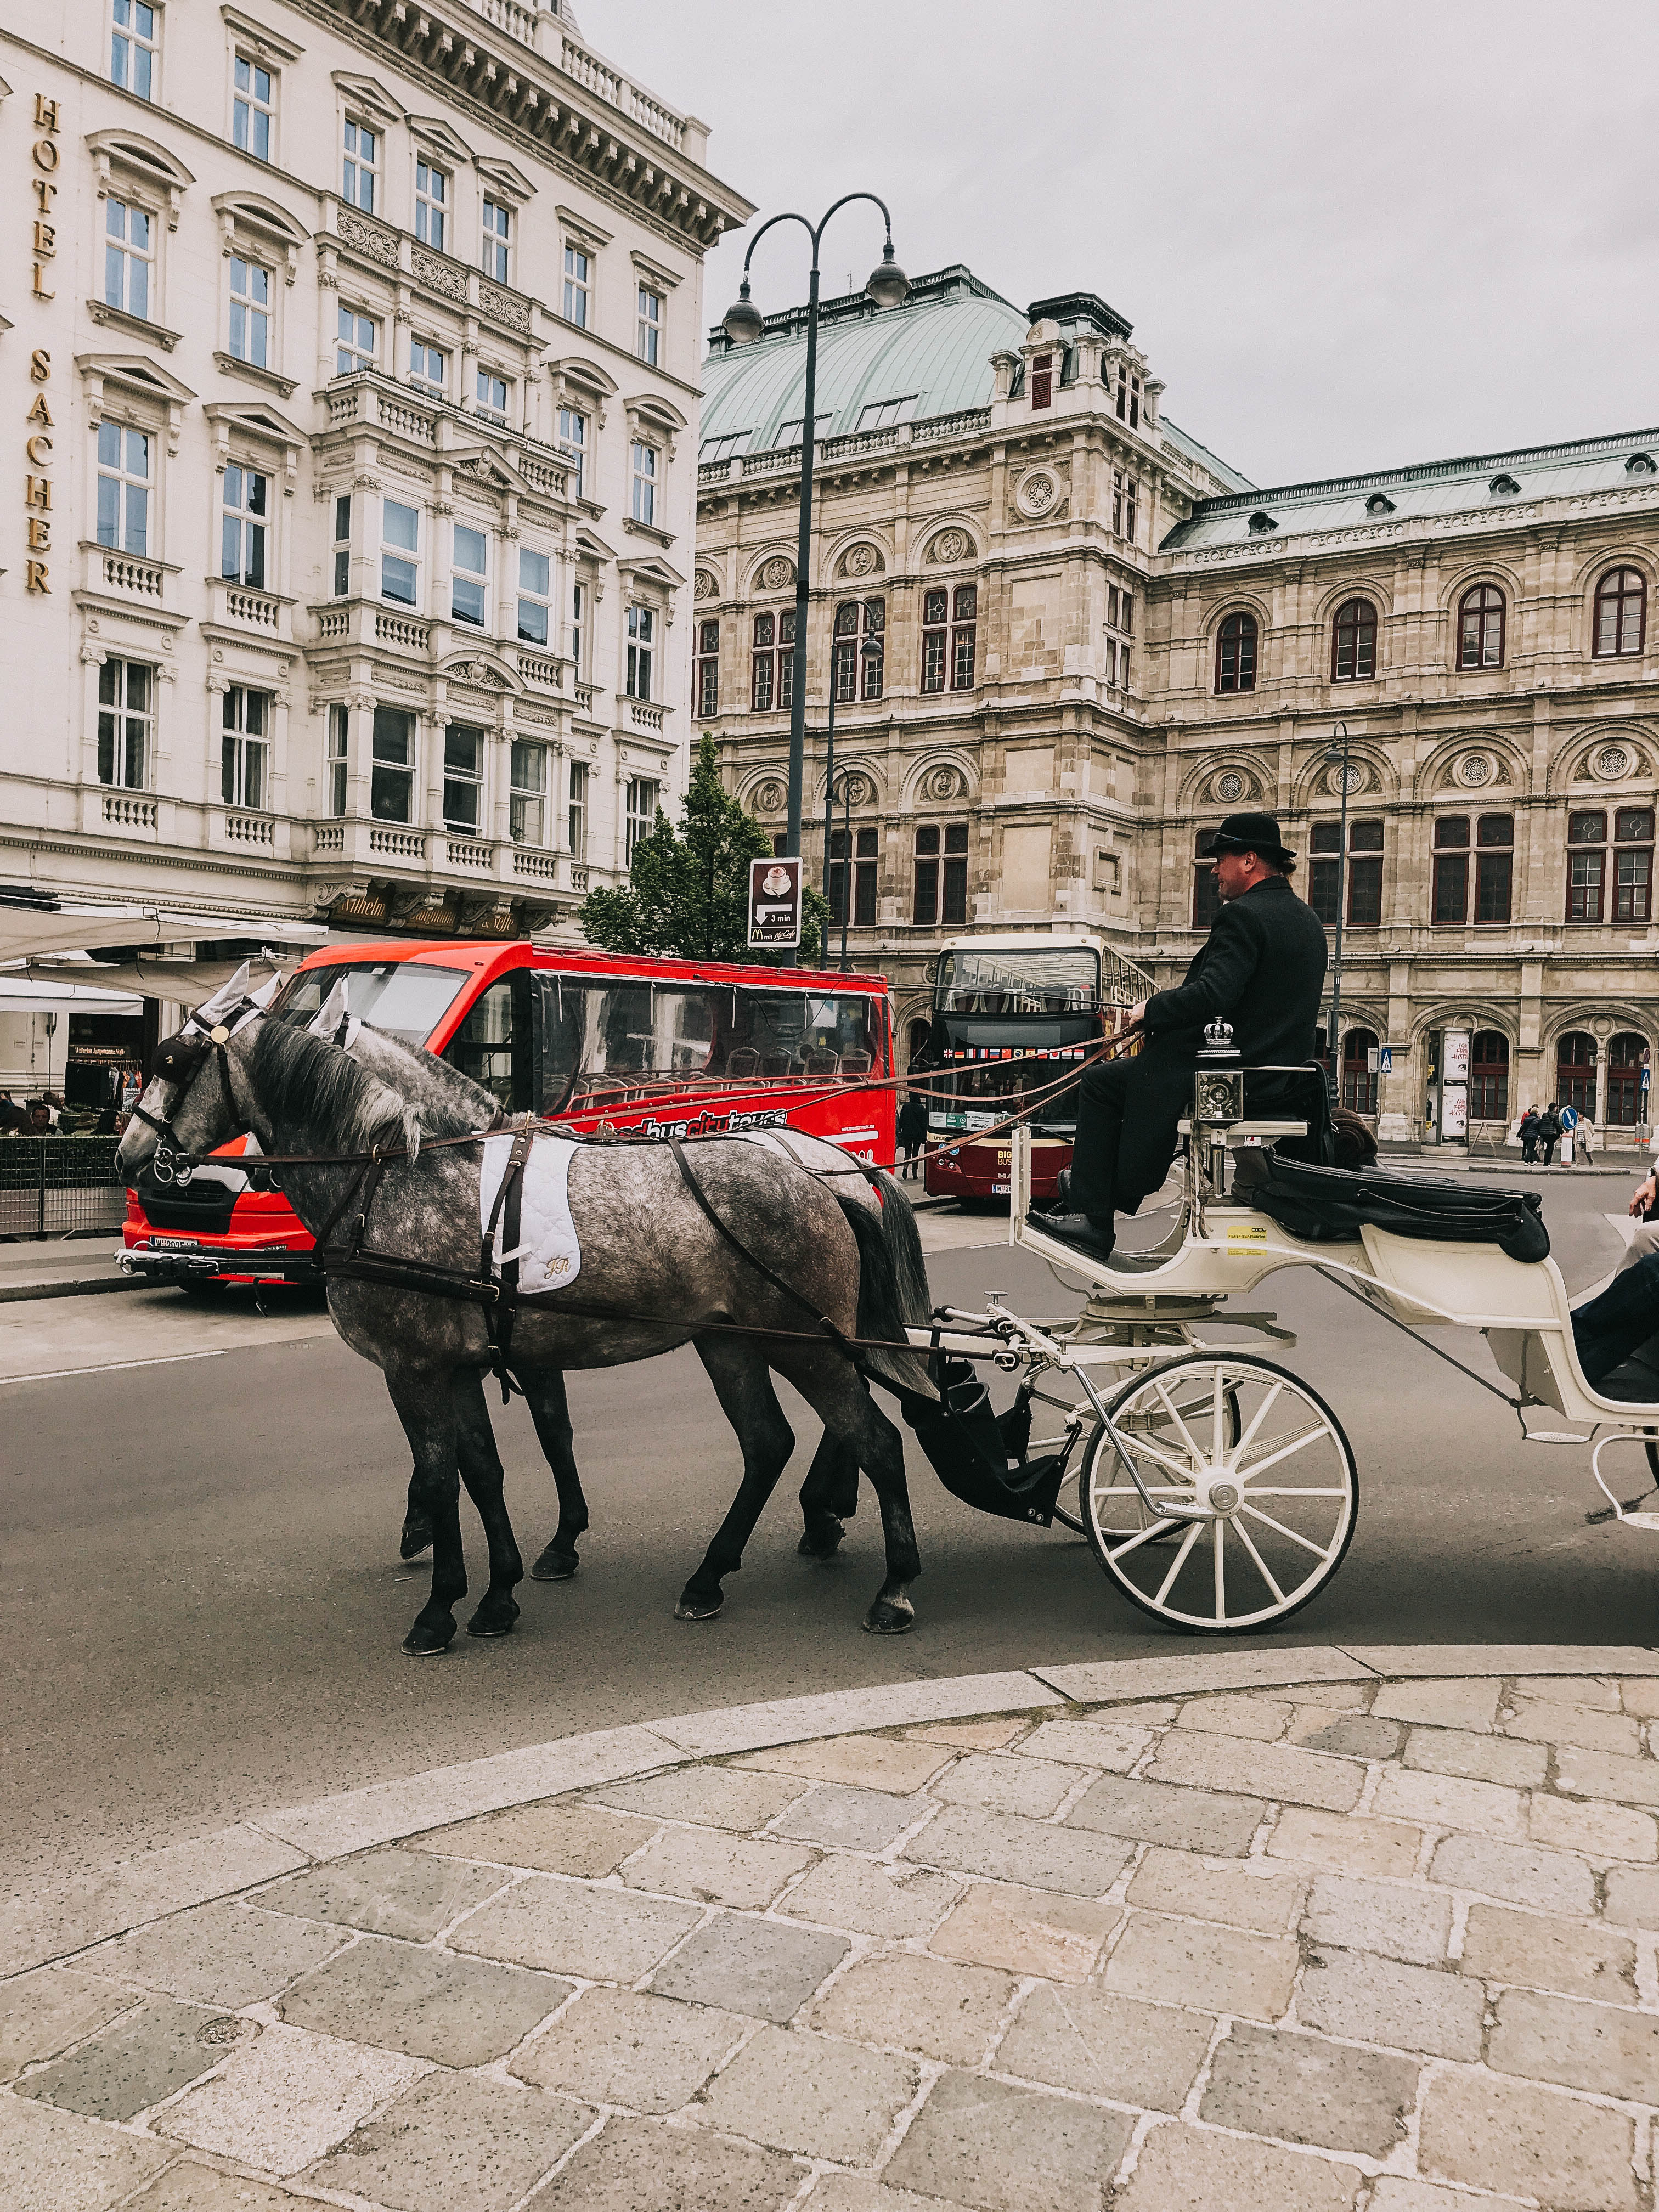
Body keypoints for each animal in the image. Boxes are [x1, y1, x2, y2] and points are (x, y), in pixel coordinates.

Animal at [118, 972, 937, 1656]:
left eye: (170, 1061)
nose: (127, 1158)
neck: (398, 1178)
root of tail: (825, 1175)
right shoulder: (464, 1366)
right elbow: (485, 1469)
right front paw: (497, 1593)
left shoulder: (415, 1369)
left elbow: (445, 1475)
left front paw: (440, 1607)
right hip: (734, 1341)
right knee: (770, 1443)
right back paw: (714, 1575)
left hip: (806, 1343)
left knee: (874, 1439)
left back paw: (894, 1585)